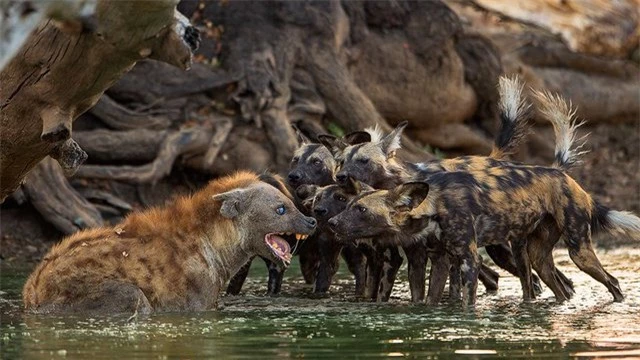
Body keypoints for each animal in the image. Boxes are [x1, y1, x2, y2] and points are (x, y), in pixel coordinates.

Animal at [22, 170, 316, 314]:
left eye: (292, 204)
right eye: (280, 209)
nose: (311, 221)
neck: (214, 247)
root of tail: (33, 291)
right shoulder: (195, 302)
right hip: (113, 295)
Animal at [330, 165, 640, 306]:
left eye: (361, 209)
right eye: (349, 205)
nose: (331, 222)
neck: (434, 207)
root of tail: (574, 182)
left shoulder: (469, 261)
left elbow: (468, 301)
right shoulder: (440, 261)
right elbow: (430, 299)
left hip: (579, 253)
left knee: (612, 281)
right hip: (535, 258)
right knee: (557, 289)